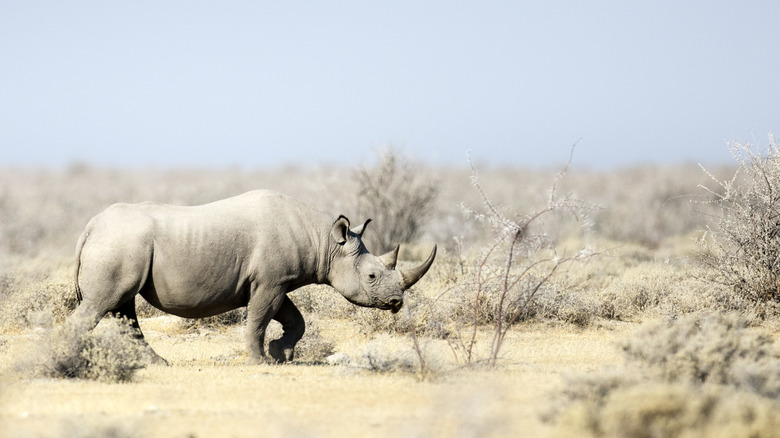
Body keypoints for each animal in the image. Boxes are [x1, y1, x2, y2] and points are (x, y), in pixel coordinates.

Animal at [64, 190, 436, 364]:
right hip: (120, 244)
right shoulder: (271, 281)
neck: (326, 242)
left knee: (123, 309)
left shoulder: (275, 281)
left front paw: (281, 354)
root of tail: (91, 226)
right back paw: (66, 358)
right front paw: (262, 360)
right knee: (103, 304)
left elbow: (294, 319)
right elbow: (259, 319)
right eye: (372, 276)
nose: (396, 302)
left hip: (123, 244)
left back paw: (159, 364)